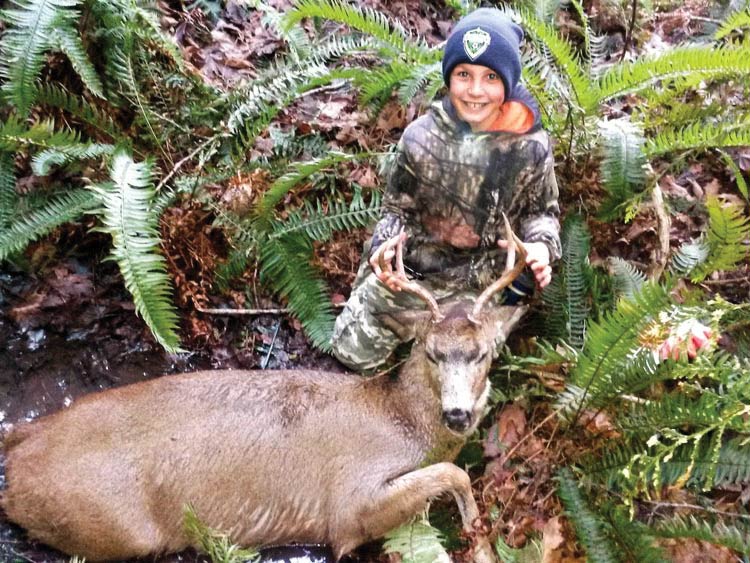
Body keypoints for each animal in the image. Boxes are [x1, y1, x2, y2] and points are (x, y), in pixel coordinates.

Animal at [1, 219, 529, 563]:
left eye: (484, 352)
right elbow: (452, 474)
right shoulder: (347, 505)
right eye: (431, 351)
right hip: (114, 524)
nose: (457, 414)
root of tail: (24, 441)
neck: (398, 418)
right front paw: (483, 548)